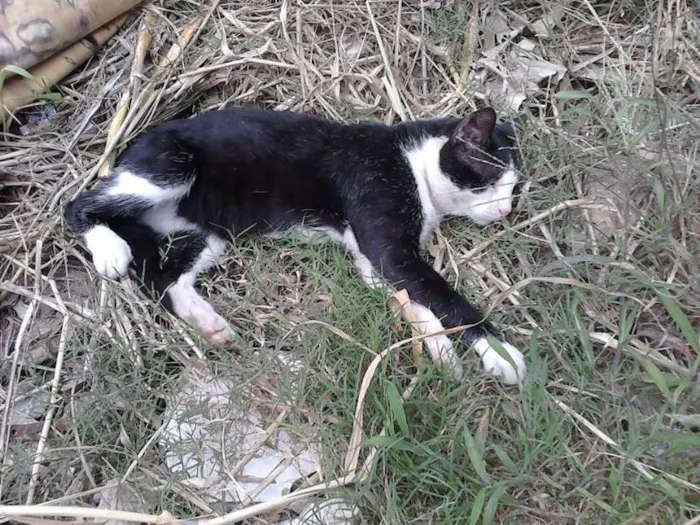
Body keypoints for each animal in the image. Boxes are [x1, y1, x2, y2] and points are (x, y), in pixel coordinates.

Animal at [64, 106, 524, 382]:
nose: (505, 211)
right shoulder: (385, 234)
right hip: (166, 168)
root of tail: (133, 146)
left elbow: (414, 299)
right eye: (490, 181)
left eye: (513, 188)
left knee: (168, 278)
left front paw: (440, 351)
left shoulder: (374, 261)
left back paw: (209, 324)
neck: (413, 160)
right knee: (77, 205)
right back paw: (108, 249)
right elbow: (442, 296)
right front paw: (499, 352)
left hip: (211, 232)